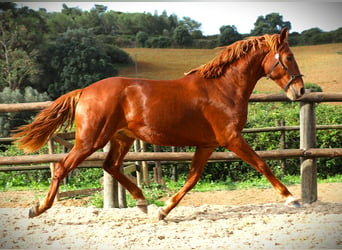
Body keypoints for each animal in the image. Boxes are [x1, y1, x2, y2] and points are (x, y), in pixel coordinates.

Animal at [13, 26, 304, 219]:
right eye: (289, 57)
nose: (300, 90)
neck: (223, 88)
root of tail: (84, 91)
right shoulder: (231, 139)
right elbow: (262, 164)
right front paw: (291, 199)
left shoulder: (208, 145)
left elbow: (192, 179)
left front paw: (163, 210)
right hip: (90, 140)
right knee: (63, 167)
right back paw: (37, 208)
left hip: (122, 137)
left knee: (111, 166)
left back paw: (142, 203)